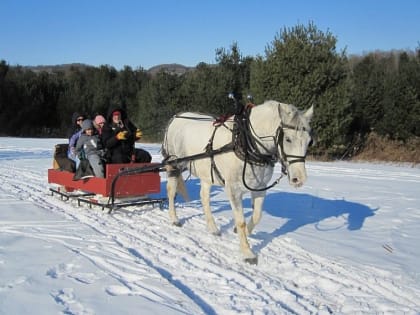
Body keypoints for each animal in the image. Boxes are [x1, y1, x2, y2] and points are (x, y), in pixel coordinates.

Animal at [162, 100, 314, 264]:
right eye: (288, 139)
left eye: (309, 142)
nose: (299, 179)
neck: (247, 144)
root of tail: (176, 117)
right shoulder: (233, 189)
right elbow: (241, 221)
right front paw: (247, 253)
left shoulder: (260, 188)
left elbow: (257, 215)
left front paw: (244, 232)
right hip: (174, 165)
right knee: (171, 191)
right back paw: (174, 219)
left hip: (207, 174)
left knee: (204, 197)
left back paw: (213, 228)